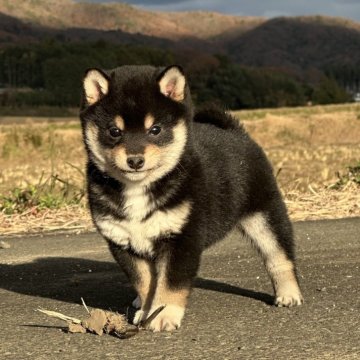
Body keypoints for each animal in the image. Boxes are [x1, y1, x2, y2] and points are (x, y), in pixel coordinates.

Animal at [79, 65, 304, 332]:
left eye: (155, 130)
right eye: (114, 131)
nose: (134, 160)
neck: (138, 188)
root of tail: (235, 131)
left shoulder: (182, 237)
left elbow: (170, 283)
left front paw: (163, 314)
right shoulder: (124, 242)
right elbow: (145, 283)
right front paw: (147, 309)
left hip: (263, 216)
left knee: (278, 256)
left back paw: (289, 293)